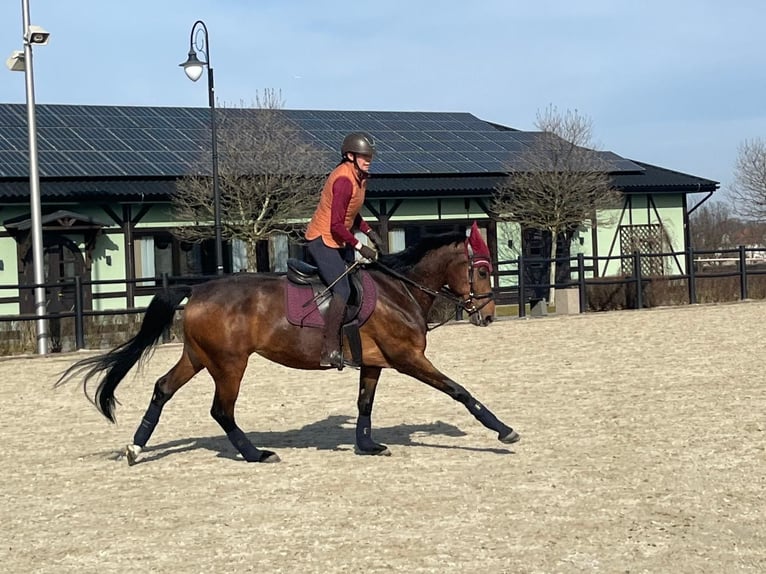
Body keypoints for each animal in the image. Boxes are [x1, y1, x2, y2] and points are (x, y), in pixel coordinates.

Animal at [57, 223, 520, 464]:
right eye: (482, 270)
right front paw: (504, 431)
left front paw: (367, 445)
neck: (400, 289)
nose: (488, 315)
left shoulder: (374, 363)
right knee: (221, 410)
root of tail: (199, 290)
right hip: (230, 364)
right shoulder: (408, 358)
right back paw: (255, 454)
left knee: (162, 389)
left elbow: (364, 404)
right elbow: (460, 391)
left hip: (199, 357)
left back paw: (136, 447)